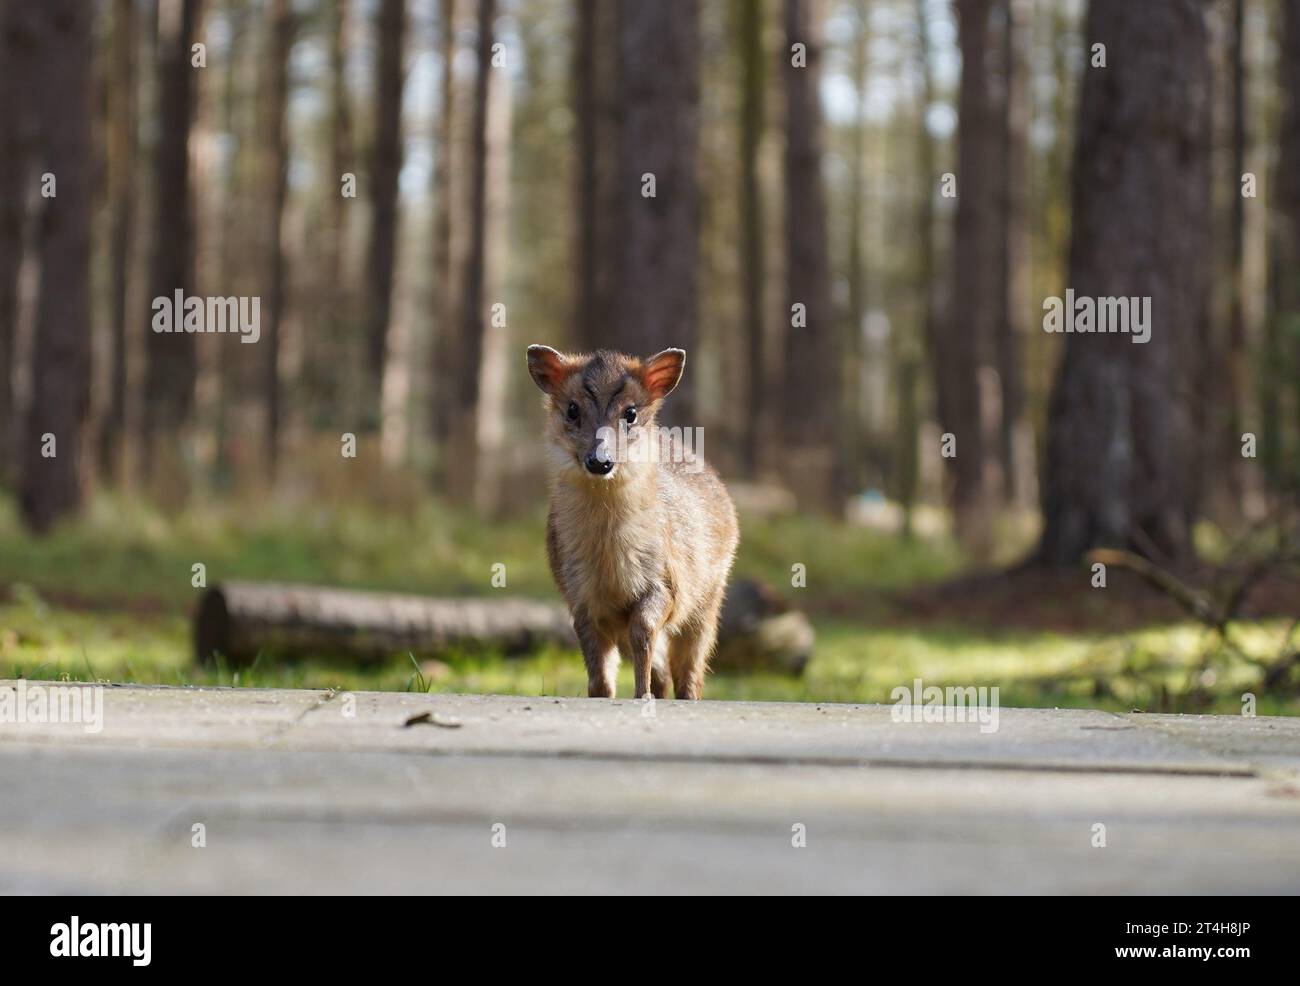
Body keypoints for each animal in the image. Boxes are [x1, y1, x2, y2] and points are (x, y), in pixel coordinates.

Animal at [522, 348, 738, 702]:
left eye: (631, 413)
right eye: (572, 408)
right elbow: (598, 666)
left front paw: (641, 695)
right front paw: (610, 695)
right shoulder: (580, 593)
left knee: (690, 668)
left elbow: (644, 630)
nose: (600, 461)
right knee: (663, 669)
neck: (610, 560)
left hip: (710, 595)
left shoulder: (667, 580)